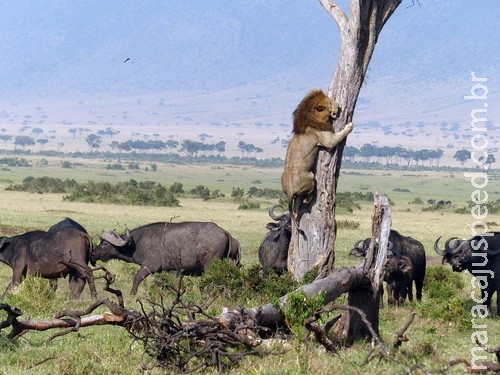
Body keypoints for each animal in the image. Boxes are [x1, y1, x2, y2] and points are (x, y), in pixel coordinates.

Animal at [94, 222, 244, 296]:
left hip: (209, 267)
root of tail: (225, 232)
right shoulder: (173, 271)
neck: (137, 243)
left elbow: (137, 277)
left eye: (105, 243)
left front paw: (132, 293)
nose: (94, 254)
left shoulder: (149, 266)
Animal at [280, 89, 354, 229]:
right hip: (311, 177)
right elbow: (340, 135)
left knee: (297, 204)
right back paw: (312, 197)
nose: (338, 105)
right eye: (330, 102)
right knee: (307, 194)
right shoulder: (328, 140)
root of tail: (290, 190)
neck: (311, 119)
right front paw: (349, 126)